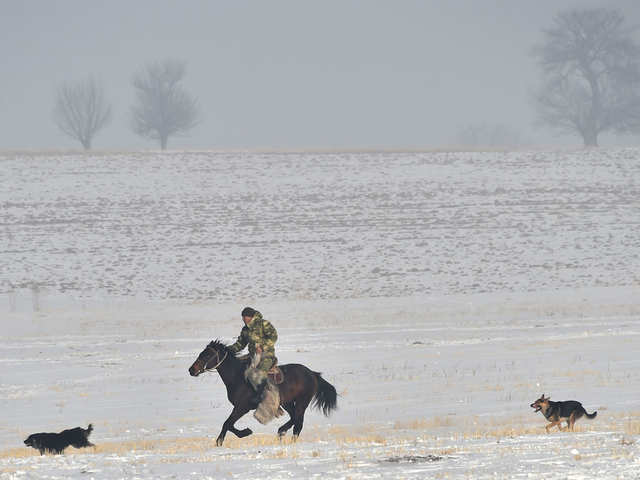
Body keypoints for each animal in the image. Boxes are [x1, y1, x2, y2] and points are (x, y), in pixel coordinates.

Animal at [188, 342, 338, 446]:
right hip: (287, 402)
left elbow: (227, 423)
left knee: (298, 423)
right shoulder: (240, 407)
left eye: (207, 355)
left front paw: (241, 433)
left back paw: (287, 437)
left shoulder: (242, 407)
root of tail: (312, 374)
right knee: (295, 419)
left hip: (302, 401)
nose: (191, 370)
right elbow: (228, 424)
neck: (238, 377)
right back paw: (281, 432)